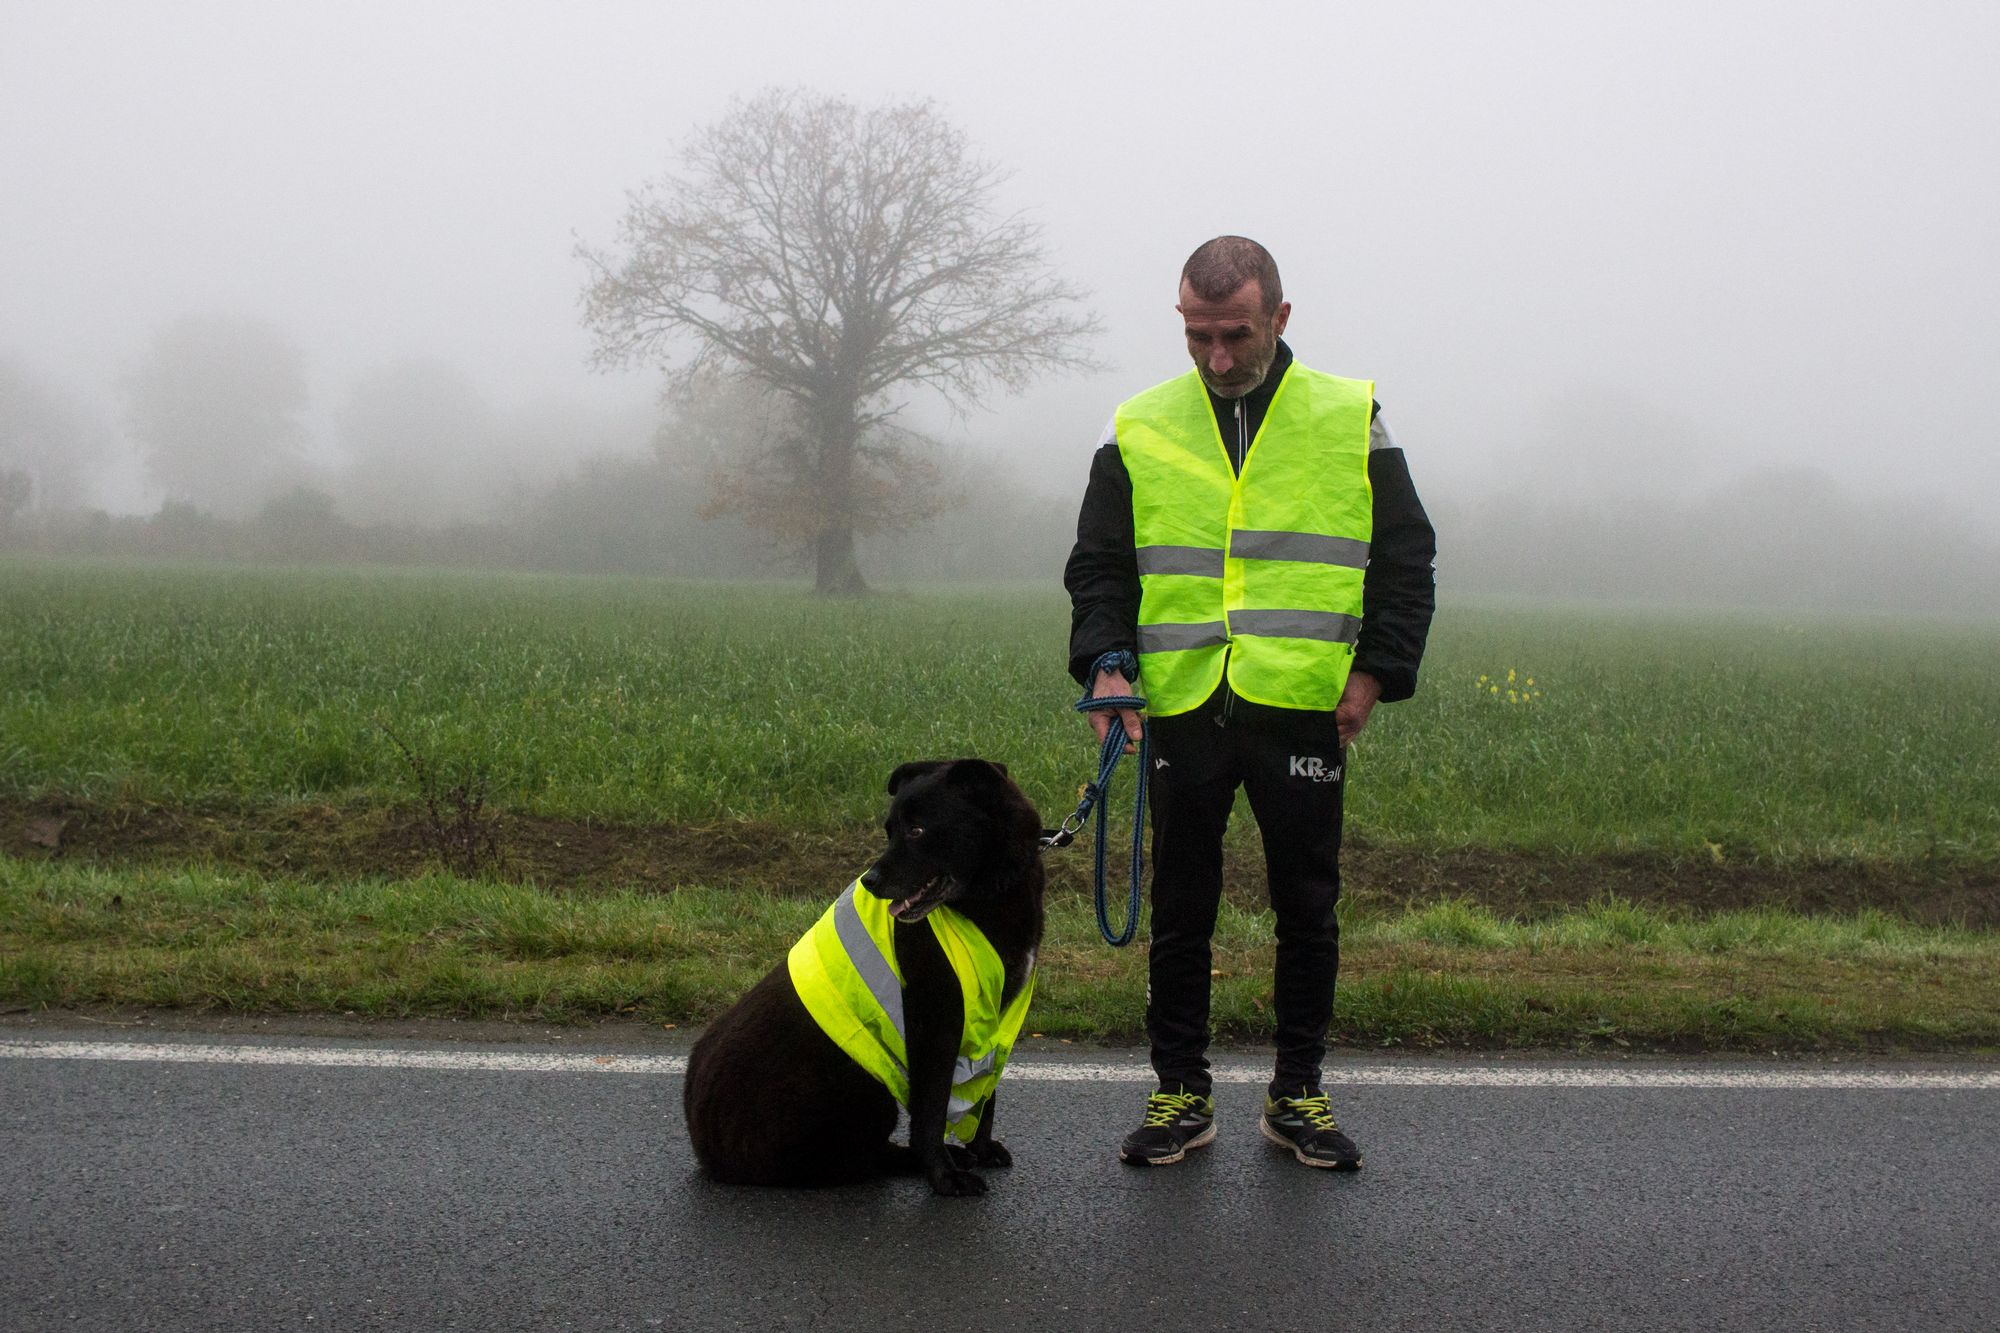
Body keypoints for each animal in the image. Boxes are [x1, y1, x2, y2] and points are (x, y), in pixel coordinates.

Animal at [684, 756, 1040, 1192]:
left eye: (917, 830)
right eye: (889, 831)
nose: (870, 881)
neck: (990, 893)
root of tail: (706, 1149)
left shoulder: (994, 1020)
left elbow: (986, 1095)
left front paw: (980, 1148)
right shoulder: (936, 1025)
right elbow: (932, 1110)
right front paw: (943, 1175)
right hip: (866, 1083)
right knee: (852, 1159)